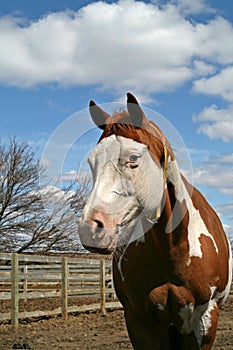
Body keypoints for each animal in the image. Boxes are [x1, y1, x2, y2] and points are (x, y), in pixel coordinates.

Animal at [78, 93, 231, 350]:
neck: (174, 248)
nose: (90, 229)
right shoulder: (140, 322)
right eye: (92, 162)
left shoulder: (205, 320)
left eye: (133, 158)